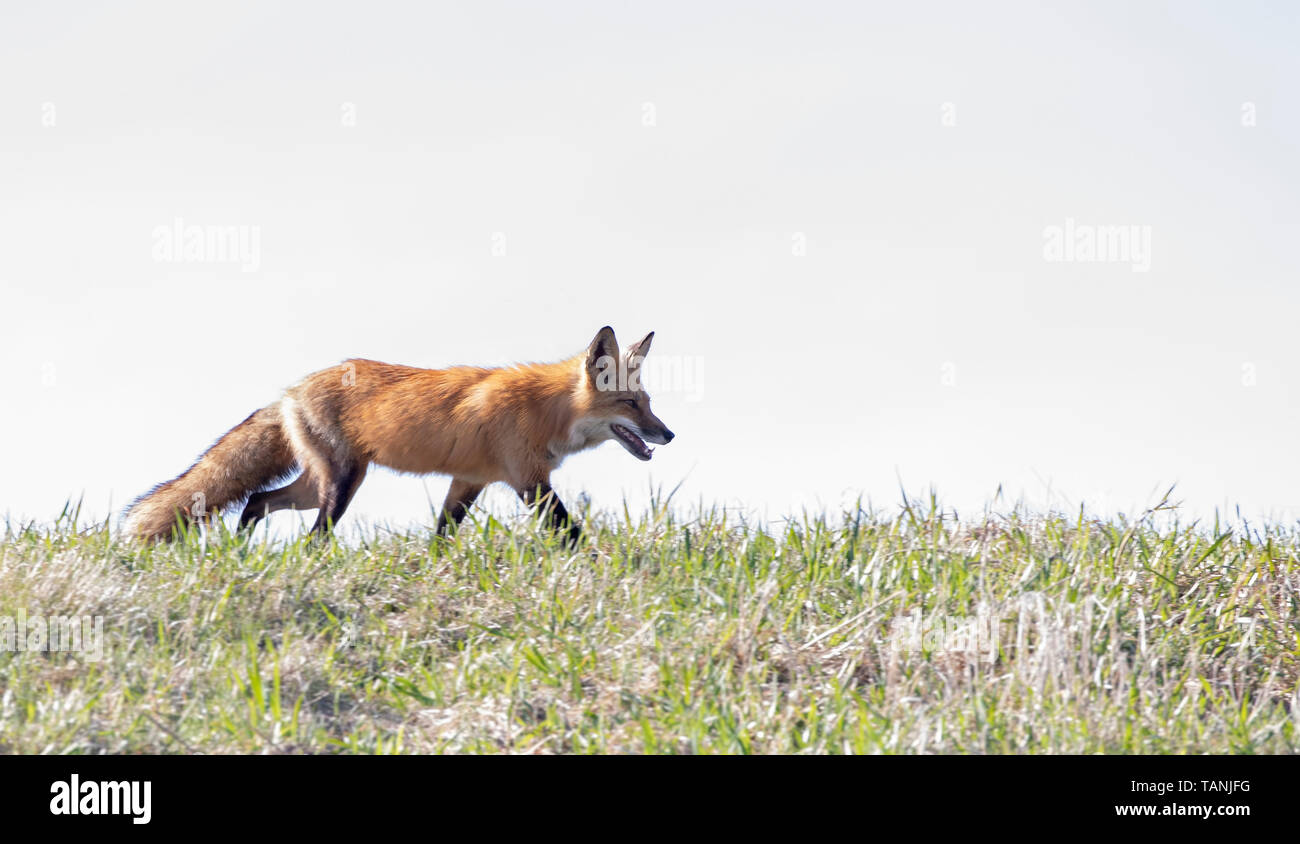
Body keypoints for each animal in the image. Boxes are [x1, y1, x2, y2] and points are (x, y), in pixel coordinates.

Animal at [123, 326, 674, 544]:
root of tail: (291, 390)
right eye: (630, 405)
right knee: (311, 538)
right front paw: (606, 565)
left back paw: (240, 553)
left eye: (648, 403)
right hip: (340, 485)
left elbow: (441, 537)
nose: (669, 434)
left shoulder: (469, 481)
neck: (546, 410)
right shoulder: (528, 481)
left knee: (256, 501)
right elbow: (571, 535)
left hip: (315, 487)